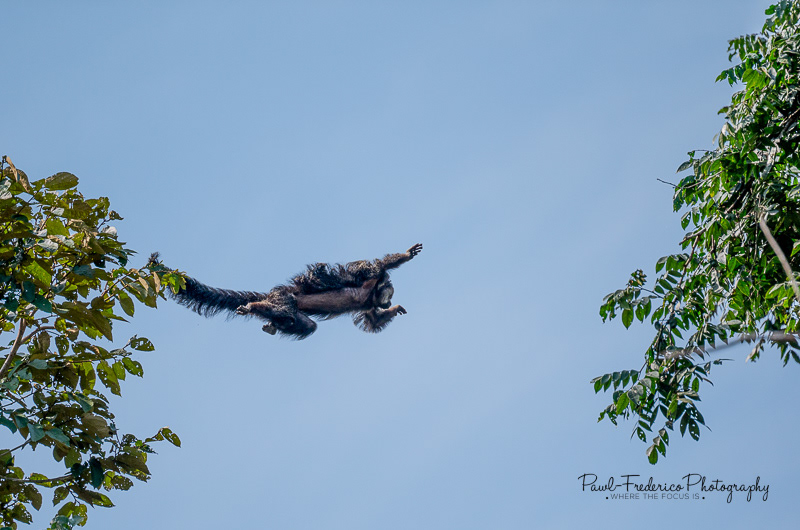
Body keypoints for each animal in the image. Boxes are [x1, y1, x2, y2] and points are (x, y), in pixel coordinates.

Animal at [169, 244, 422, 339]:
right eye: (389, 294)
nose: (388, 303)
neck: (373, 295)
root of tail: (270, 295)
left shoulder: (370, 303)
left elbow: (373, 321)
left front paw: (395, 310)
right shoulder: (370, 282)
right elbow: (378, 266)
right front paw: (405, 255)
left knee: (303, 323)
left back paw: (273, 324)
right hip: (282, 297)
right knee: (288, 309)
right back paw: (256, 306)